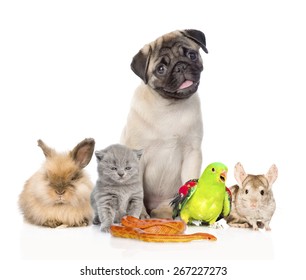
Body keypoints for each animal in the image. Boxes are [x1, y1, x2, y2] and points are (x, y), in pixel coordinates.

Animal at [121, 30, 208, 219]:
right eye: (161, 69)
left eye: (192, 55)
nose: (180, 66)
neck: (168, 107)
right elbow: (137, 191)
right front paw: (140, 215)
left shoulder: (192, 153)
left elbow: (190, 181)